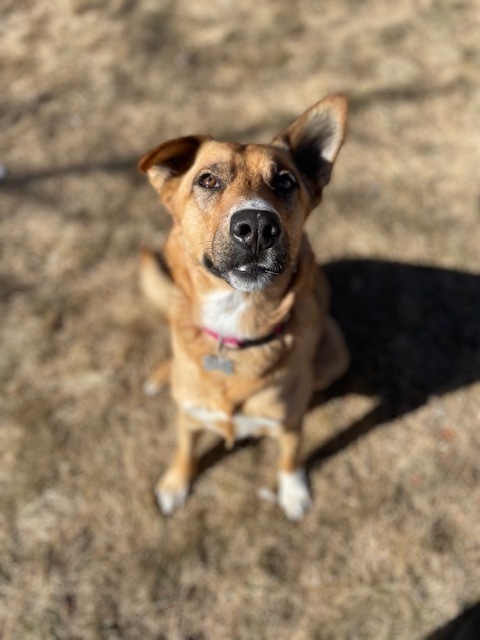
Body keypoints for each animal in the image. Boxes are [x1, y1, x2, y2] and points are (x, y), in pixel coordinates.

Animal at [138, 95, 348, 520]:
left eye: (285, 181)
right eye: (207, 180)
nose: (257, 227)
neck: (233, 326)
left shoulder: (289, 425)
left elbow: (290, 455)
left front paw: (293, 492)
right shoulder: (189, 417)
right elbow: (185, 449)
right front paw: (175, 483)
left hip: (336, 350)